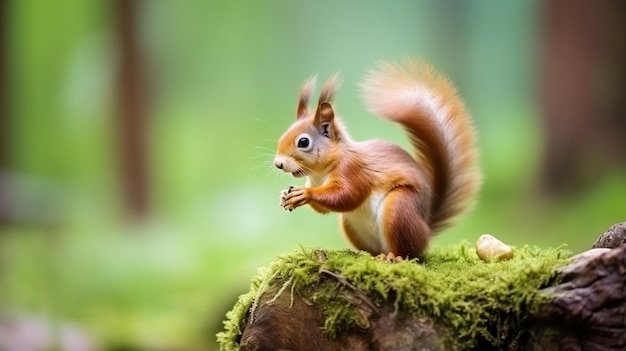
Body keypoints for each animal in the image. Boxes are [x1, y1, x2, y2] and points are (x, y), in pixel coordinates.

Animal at [270, 60, 480, 258]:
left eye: (303, 142)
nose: (278, 164)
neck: (321, 172)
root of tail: (426, 226)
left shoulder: (352, 170)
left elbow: (347, 196)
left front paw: (305, 193)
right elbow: (325, 209)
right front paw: (285, 195)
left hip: (399, 209)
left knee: (410, 252)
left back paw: (394, 257)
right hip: (350, 225)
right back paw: (372, 254)